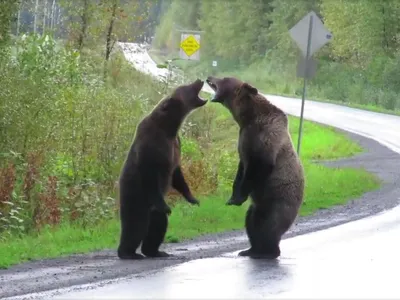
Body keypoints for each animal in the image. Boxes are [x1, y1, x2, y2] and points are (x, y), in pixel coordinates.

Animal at [117, 78, 208, 258]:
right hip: (135, 196)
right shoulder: (151, 146)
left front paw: (193, 198)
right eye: (185, 87)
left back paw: (155, 251)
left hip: (152, 211)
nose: (199, 80)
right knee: (135, 225)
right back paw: (128, 252)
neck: (169, 128)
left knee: (158, 225)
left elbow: (177, 174)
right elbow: (151, 173)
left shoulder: (175, 145)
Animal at [206, 76, 304, 258]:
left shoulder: (265, 137)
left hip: (278, 202)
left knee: (269, 226)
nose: (209, 77)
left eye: (225, 78)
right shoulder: (244, 140)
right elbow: (241, 168)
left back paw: (267, 251)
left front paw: (239, 197)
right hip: (258, 205)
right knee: (251, 222)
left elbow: (260, 166)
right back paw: (250, 250)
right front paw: (233, 197)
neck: (248, 117)